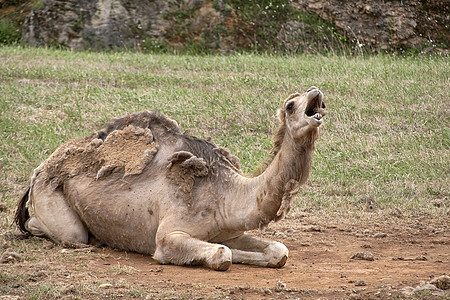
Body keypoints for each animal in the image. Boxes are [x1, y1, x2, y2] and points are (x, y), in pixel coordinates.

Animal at [15, 86, 326, 272]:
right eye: (290, 105)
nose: (315, 91)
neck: (226, 194)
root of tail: (40, 169)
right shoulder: (168, 235)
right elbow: (221, 255)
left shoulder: (229, 231)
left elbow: (277, 250)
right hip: (53, 201)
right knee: (63, 232)